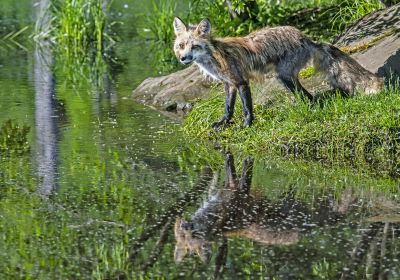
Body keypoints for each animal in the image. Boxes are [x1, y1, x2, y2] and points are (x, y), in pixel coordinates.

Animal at [173, 16, 384, 128]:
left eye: (195, 46)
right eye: (182, 45)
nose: (183, 58)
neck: (215, 56)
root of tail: (306, 37)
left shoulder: (241, 81)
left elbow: (247, 108)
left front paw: (248, 125)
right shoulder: (229, 83)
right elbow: (228, 108)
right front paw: (223, 123)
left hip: (284, 77)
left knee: (307, 96)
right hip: (286, 78)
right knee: (308, 96)